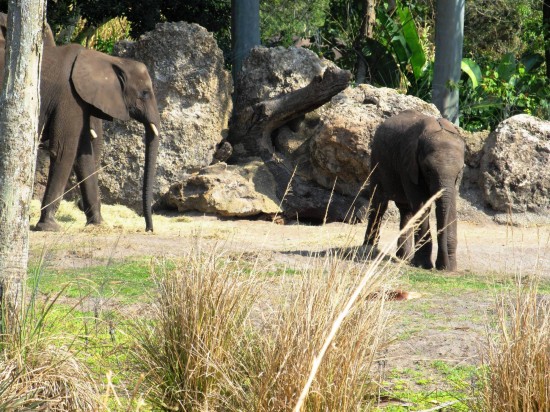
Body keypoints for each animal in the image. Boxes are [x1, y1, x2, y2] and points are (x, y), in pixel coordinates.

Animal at [1, 14, 162, 230]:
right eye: (144, 93)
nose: (148, 229)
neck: (107, 59)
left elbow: (83, 155)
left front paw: (98, 225)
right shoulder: (69, 97)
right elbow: (64, 150)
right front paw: (49, 227)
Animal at [366, 109, 466, 270]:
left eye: (459, 171)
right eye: (428, 170)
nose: (442, 266)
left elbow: (451, 206)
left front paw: (450, 268)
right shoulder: (409, 166)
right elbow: (422, 205)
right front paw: (423, 265)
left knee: (406, 210)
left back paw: (404, 257)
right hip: (377, 161)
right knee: (379, 205)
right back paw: (368, 250)